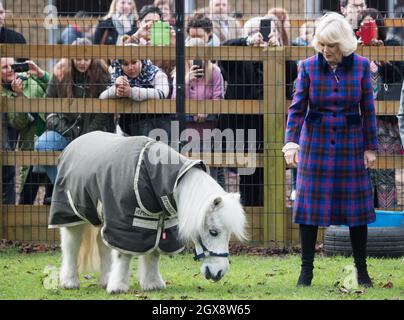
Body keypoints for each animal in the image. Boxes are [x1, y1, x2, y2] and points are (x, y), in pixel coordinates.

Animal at [53, 131, 246, 294]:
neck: (150, 176)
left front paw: (152, 284)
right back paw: (69, 282)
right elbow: (123, 254)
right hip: (71, 215)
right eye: (213, 232)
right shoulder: (123, 222)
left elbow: (153, 252)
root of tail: (76, 142)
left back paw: (105, 279)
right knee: (71, 245)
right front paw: (118, 287)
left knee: (103, 245)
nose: (219, 272)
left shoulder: (161, 222)